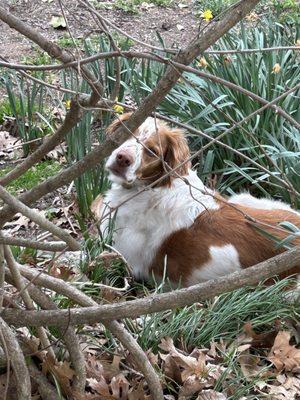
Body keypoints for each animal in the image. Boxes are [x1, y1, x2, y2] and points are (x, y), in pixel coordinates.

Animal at [100, 112, 300, 286]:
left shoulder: (121, 256)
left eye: (152, 151)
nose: (123, 159)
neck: (156, 187)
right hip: (245, 198)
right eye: (127, 131)